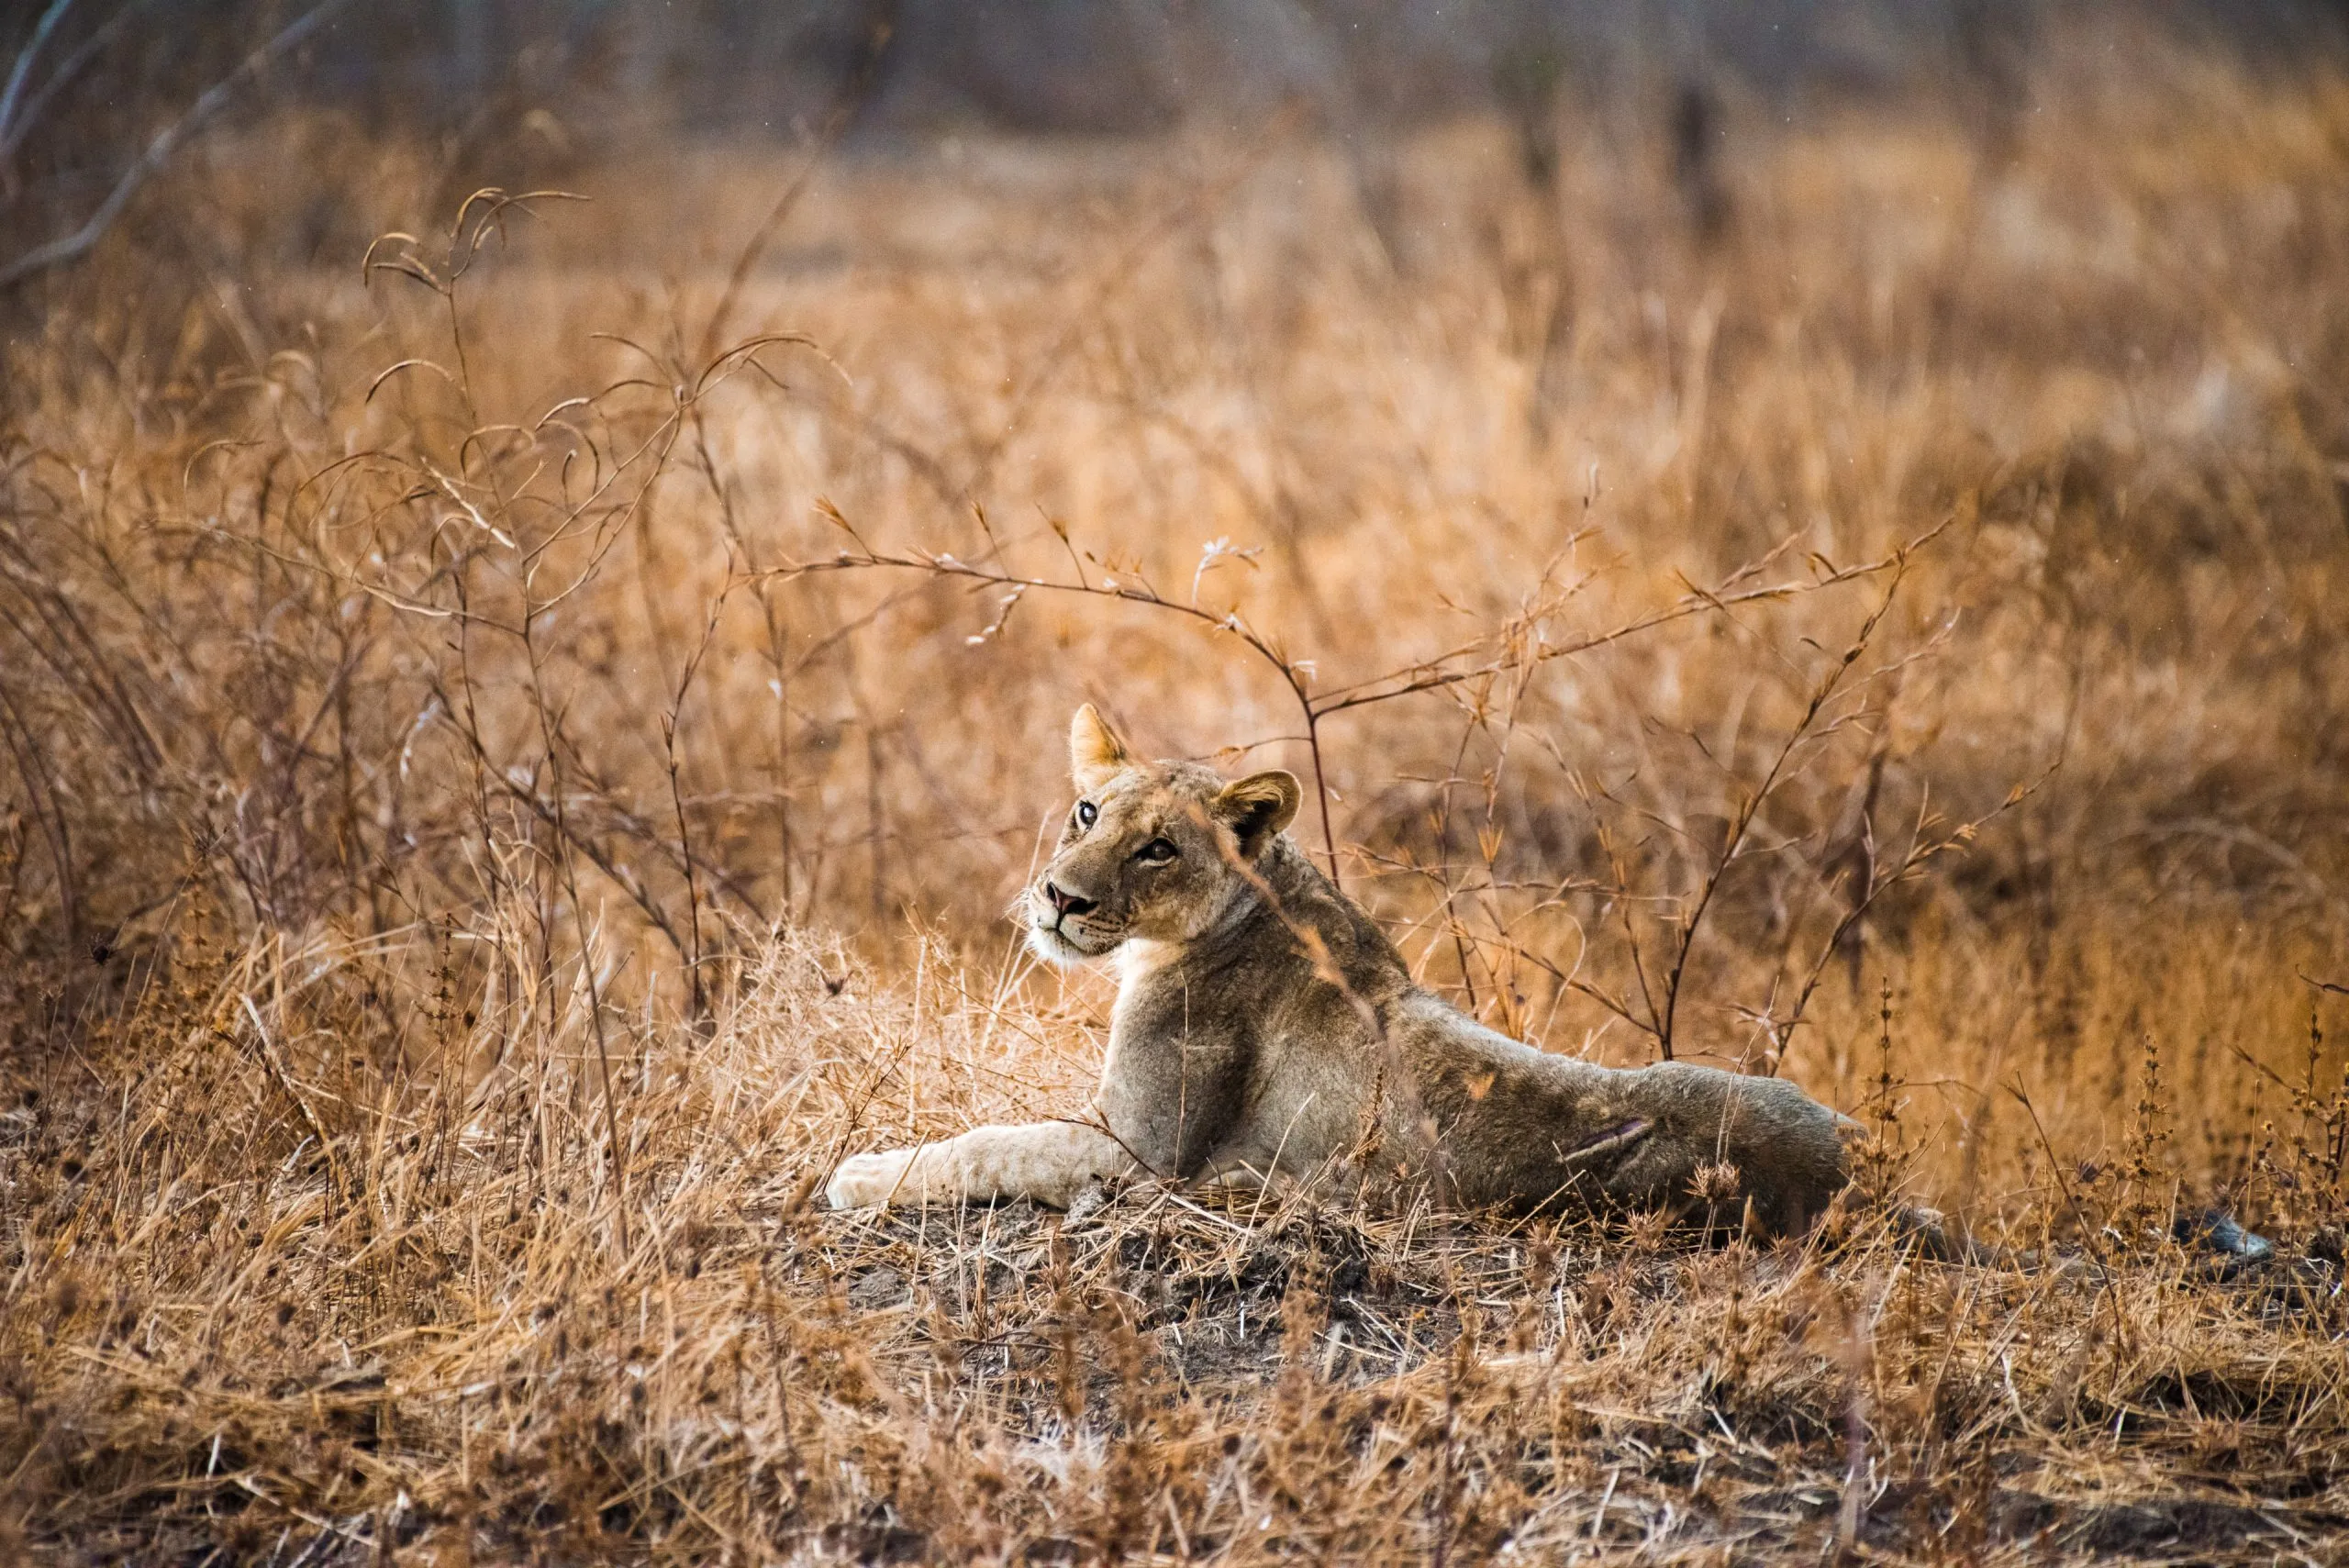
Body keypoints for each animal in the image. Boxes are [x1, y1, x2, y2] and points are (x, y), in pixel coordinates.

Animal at [825, 705, 1855, 1234]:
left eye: (1158, 848)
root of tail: (1849, 1166)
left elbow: (993, 1143)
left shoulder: (1143, 1152)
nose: (1058, 898)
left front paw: (861, 1173)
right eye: (1086, 812)